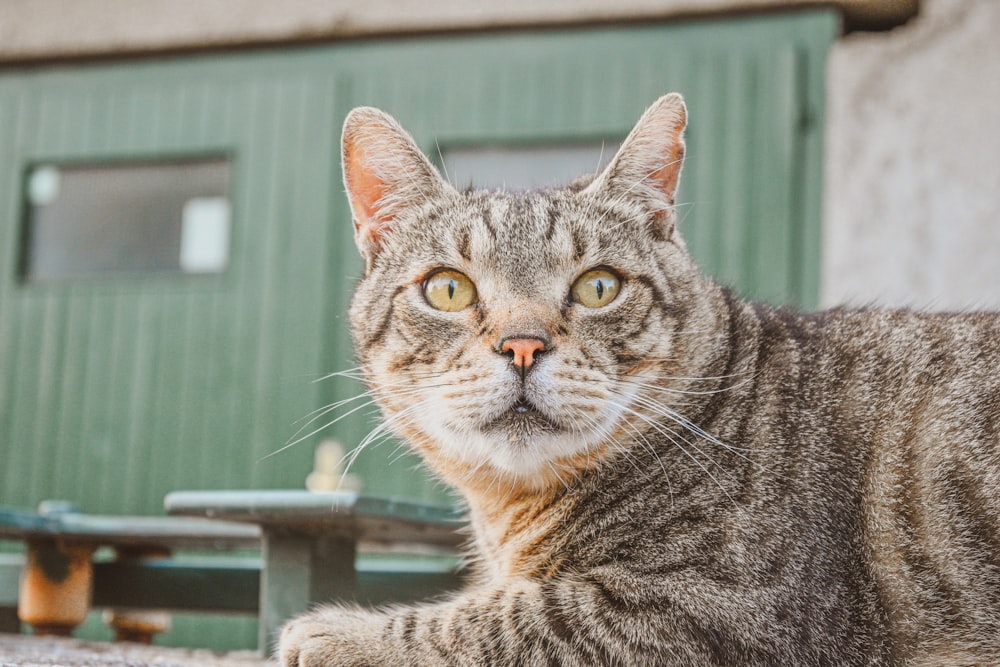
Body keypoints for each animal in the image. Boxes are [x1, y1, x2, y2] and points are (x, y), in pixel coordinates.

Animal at [278, 94, 1000, 667]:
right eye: (448, 288)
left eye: (598, 286)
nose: (522, 344)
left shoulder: (721, 609)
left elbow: (511, 619)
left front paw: (338, 635)